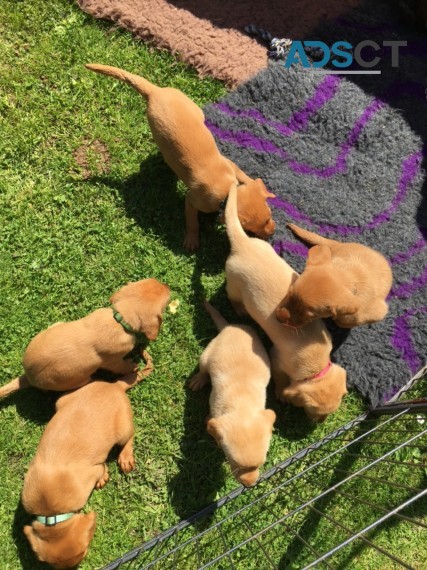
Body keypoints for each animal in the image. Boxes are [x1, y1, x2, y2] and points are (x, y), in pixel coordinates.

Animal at [0, 278, 171, 398]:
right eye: (166, 298)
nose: (167, 285)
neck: (119, 319)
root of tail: (28, 377)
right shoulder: (114, 362)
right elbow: (123, 366)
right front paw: (133, 366)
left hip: (56, 325)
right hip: (80, 379)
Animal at [22, 372, 142, 564]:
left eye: (84, 553)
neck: (51, 513)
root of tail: (114, 386)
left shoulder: (91, 474)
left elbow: (101, 468)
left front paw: (103, 477)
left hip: (123, 429)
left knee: (130, 437)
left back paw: (125, 457)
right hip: (62, 401)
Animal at [86, 63, 278, 250]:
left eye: (269, 217)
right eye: (251, 229)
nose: (272, 232)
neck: (227, 189)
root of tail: (155, 92)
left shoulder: (230, 165)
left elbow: (244, 175)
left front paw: (260, 186)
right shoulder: (193, 201)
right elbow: (192, 222)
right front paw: (192, 239)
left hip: (190, 105)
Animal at [189, 300, 276, 486]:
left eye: (262, 463)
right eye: (234, 463)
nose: (250, 485)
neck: (243, 403)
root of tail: (229, 327)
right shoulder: (214, 407)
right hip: (206, 355)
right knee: (203, 369)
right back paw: (199, 379)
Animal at [224, 184, 348, 420]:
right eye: (314, 412)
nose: (318, 424)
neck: (317, 365)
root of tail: (242, 244)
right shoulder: (277, 359)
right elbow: (281, 379)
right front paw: (282, 394)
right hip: (233, 283)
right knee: (233, 297)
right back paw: (239, 309)